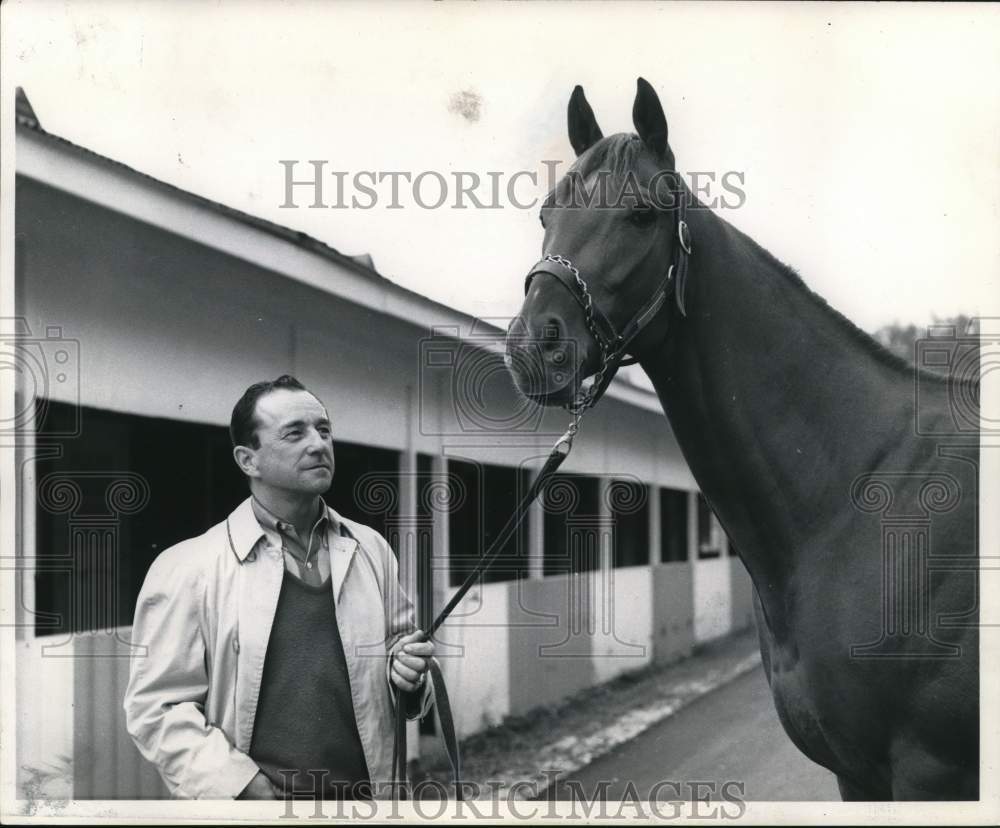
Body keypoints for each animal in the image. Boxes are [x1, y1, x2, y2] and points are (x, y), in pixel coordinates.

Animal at [504, 77, 980, 804]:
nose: (534, 346)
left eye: (642, 215)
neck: (860, 501)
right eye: (545, 214)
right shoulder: (855, 773)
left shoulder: (933, 772)